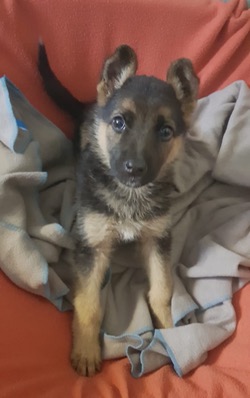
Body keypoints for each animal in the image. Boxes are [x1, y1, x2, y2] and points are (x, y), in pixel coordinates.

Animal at [38, 43, 199, 376]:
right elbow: (88, 304)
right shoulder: (93, 247)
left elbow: (162, 290)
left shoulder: (157, 239)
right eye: (118, 122)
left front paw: (170, 335)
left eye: (166, 131)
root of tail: (89, 106)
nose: (134, 169)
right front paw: (86, 351)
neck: (130, 196)